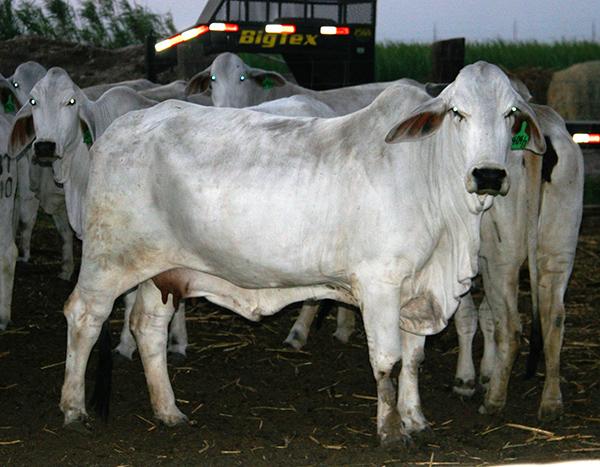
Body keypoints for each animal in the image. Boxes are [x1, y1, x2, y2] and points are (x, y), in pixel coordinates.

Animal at [58, 63, 548, 446]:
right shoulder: (380, 284)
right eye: (458, 113)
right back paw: (74, 408)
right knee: (83, 315)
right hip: (109, 260)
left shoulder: (416, 290)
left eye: (510, 113)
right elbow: (387, 361)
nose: (488, 175)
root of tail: (116, 132)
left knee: (149, 328)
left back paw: (168, 411)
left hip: (163, 271)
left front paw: (415, 419)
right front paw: (390, 431)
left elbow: (413, 359)